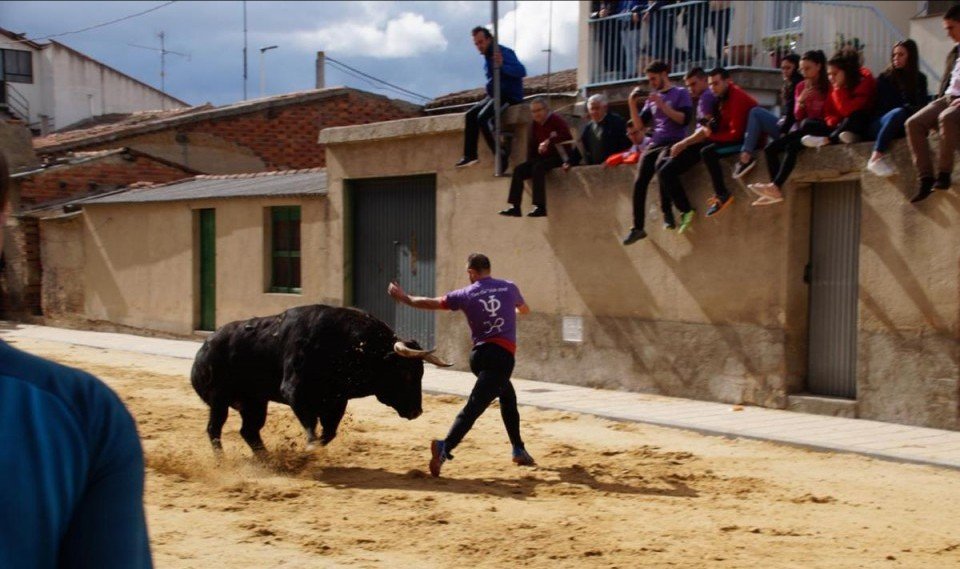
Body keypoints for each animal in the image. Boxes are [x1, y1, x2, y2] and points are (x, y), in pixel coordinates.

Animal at [190, 304, 451, 455]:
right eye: (406, 374)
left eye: (421, 373)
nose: (417, 411)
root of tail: (202, 351)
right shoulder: (295, 393)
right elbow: (311, 426)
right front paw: (309, 448)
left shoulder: (336, 401)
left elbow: (329, 432)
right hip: (219, 400)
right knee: (215, 429)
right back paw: (222, 461)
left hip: (254, 403)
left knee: (249, 431)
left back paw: (267, 460)